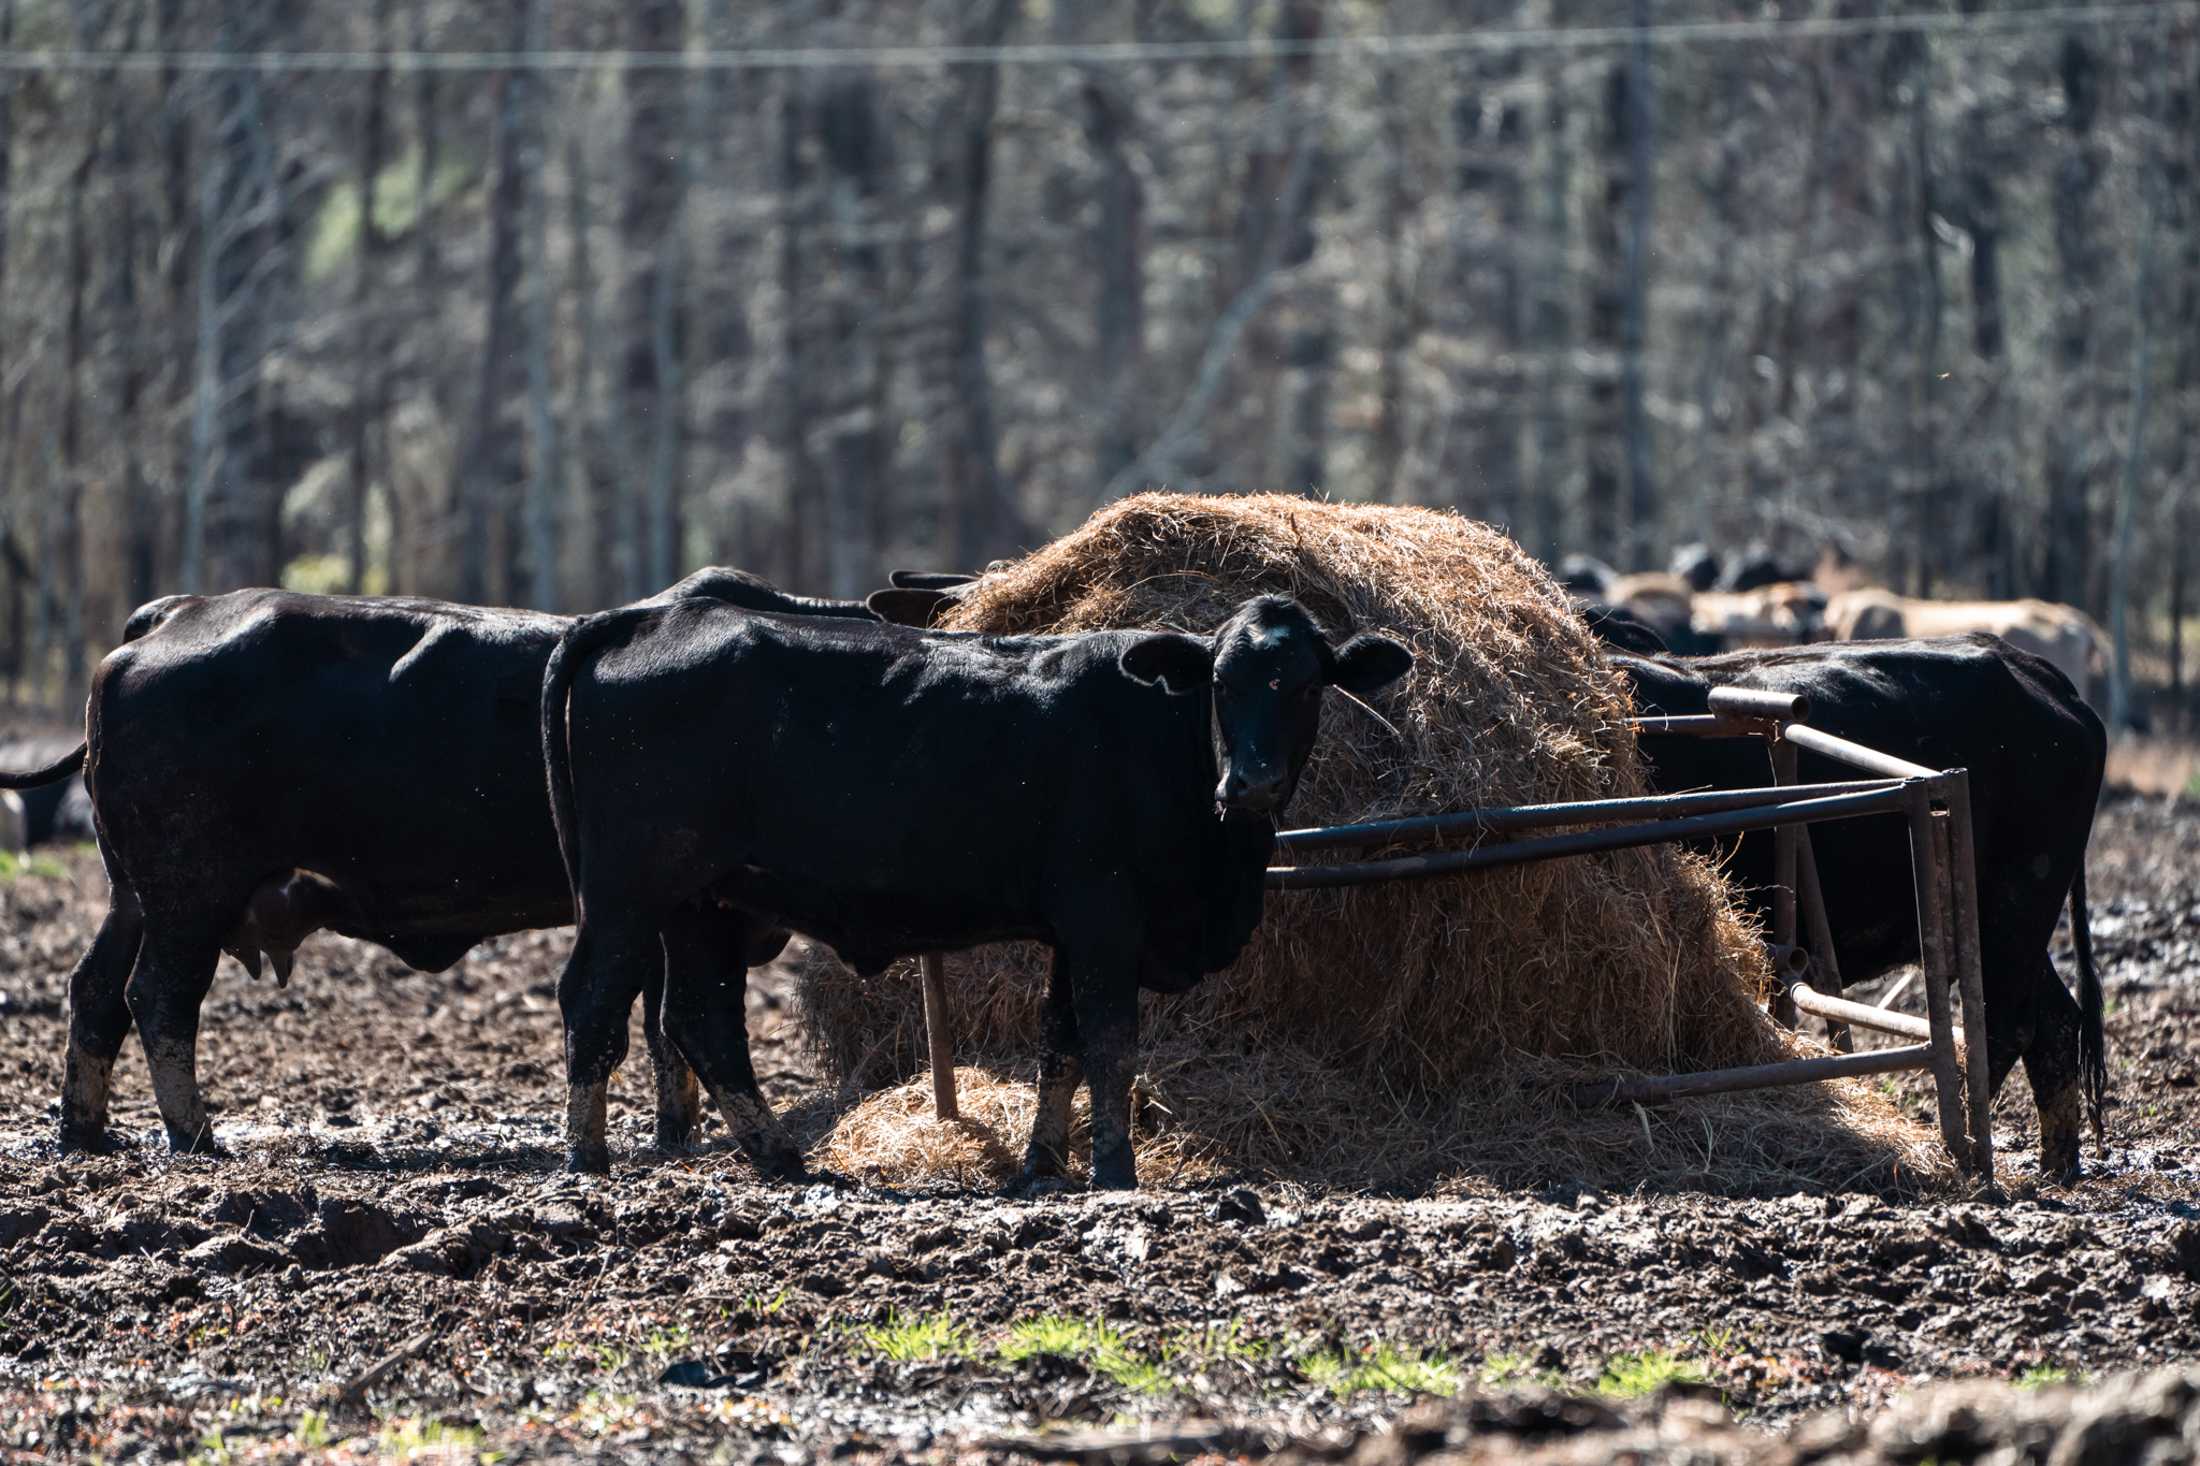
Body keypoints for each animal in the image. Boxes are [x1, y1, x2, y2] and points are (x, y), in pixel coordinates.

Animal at [2, 563, 875, 1162]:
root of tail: (171, 616)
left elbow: (665, 1029)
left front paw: (675, 1136)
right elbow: (669, 1021)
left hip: (133, 894)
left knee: (94, 992)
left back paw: (87, 1133)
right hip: (190, 892)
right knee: (158, 997)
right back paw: (196, 1137)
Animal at [541, 589, 1416, 1179]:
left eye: (1308, 685)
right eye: (1221, 682)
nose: (1254, 782)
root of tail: (653, 616)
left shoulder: (1074, 929)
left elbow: (1061, 1044)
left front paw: (1042, 1166)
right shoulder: (1105, 918)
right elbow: (1111, 1043)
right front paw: (1114, 1170)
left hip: (701, 904)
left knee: (701, 1018)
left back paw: (779, 1156)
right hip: (629, 893)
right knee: (594, 999)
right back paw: (587, 1156)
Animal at [1619, 633, 2112, 1171]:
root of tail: (2030, 667)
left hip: (2017, 905)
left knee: (2004, 1027)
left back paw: (1956, 1146)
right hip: (2008, 923)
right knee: (2054, 1023)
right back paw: (2055, 1167)